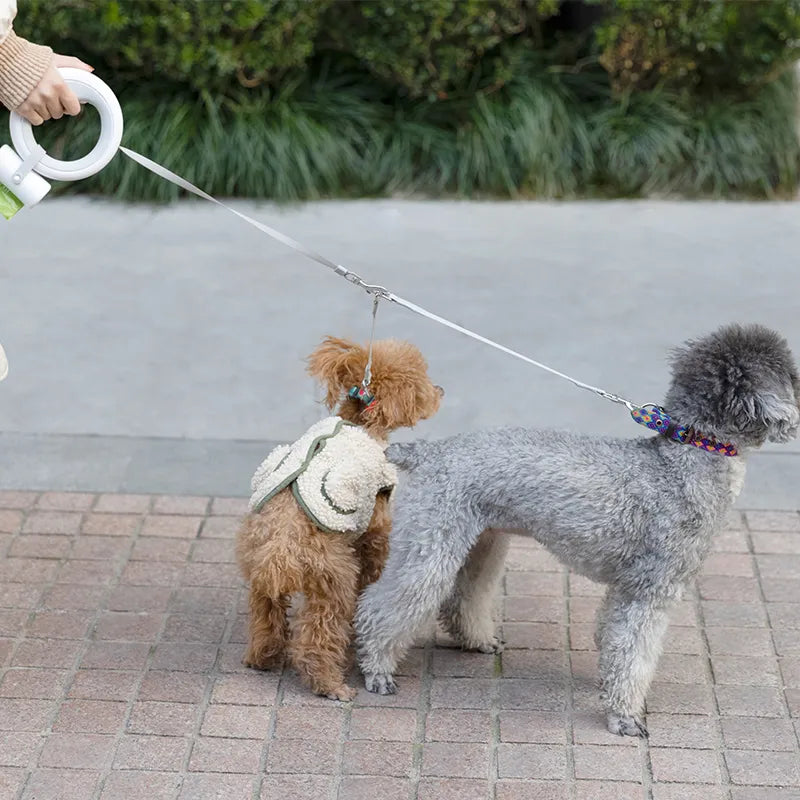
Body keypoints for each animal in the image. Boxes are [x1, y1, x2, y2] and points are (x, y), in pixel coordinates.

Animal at [238, 338, 440, 700]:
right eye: (423, 386)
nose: (440, 391)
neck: (359, 424)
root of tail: (282, 543)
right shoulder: (375, 526)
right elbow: (375, 555)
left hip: (260, 570)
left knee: (265, 617)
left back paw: (262, 657)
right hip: (332, 578)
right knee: (318, 637)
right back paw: (330, 684)